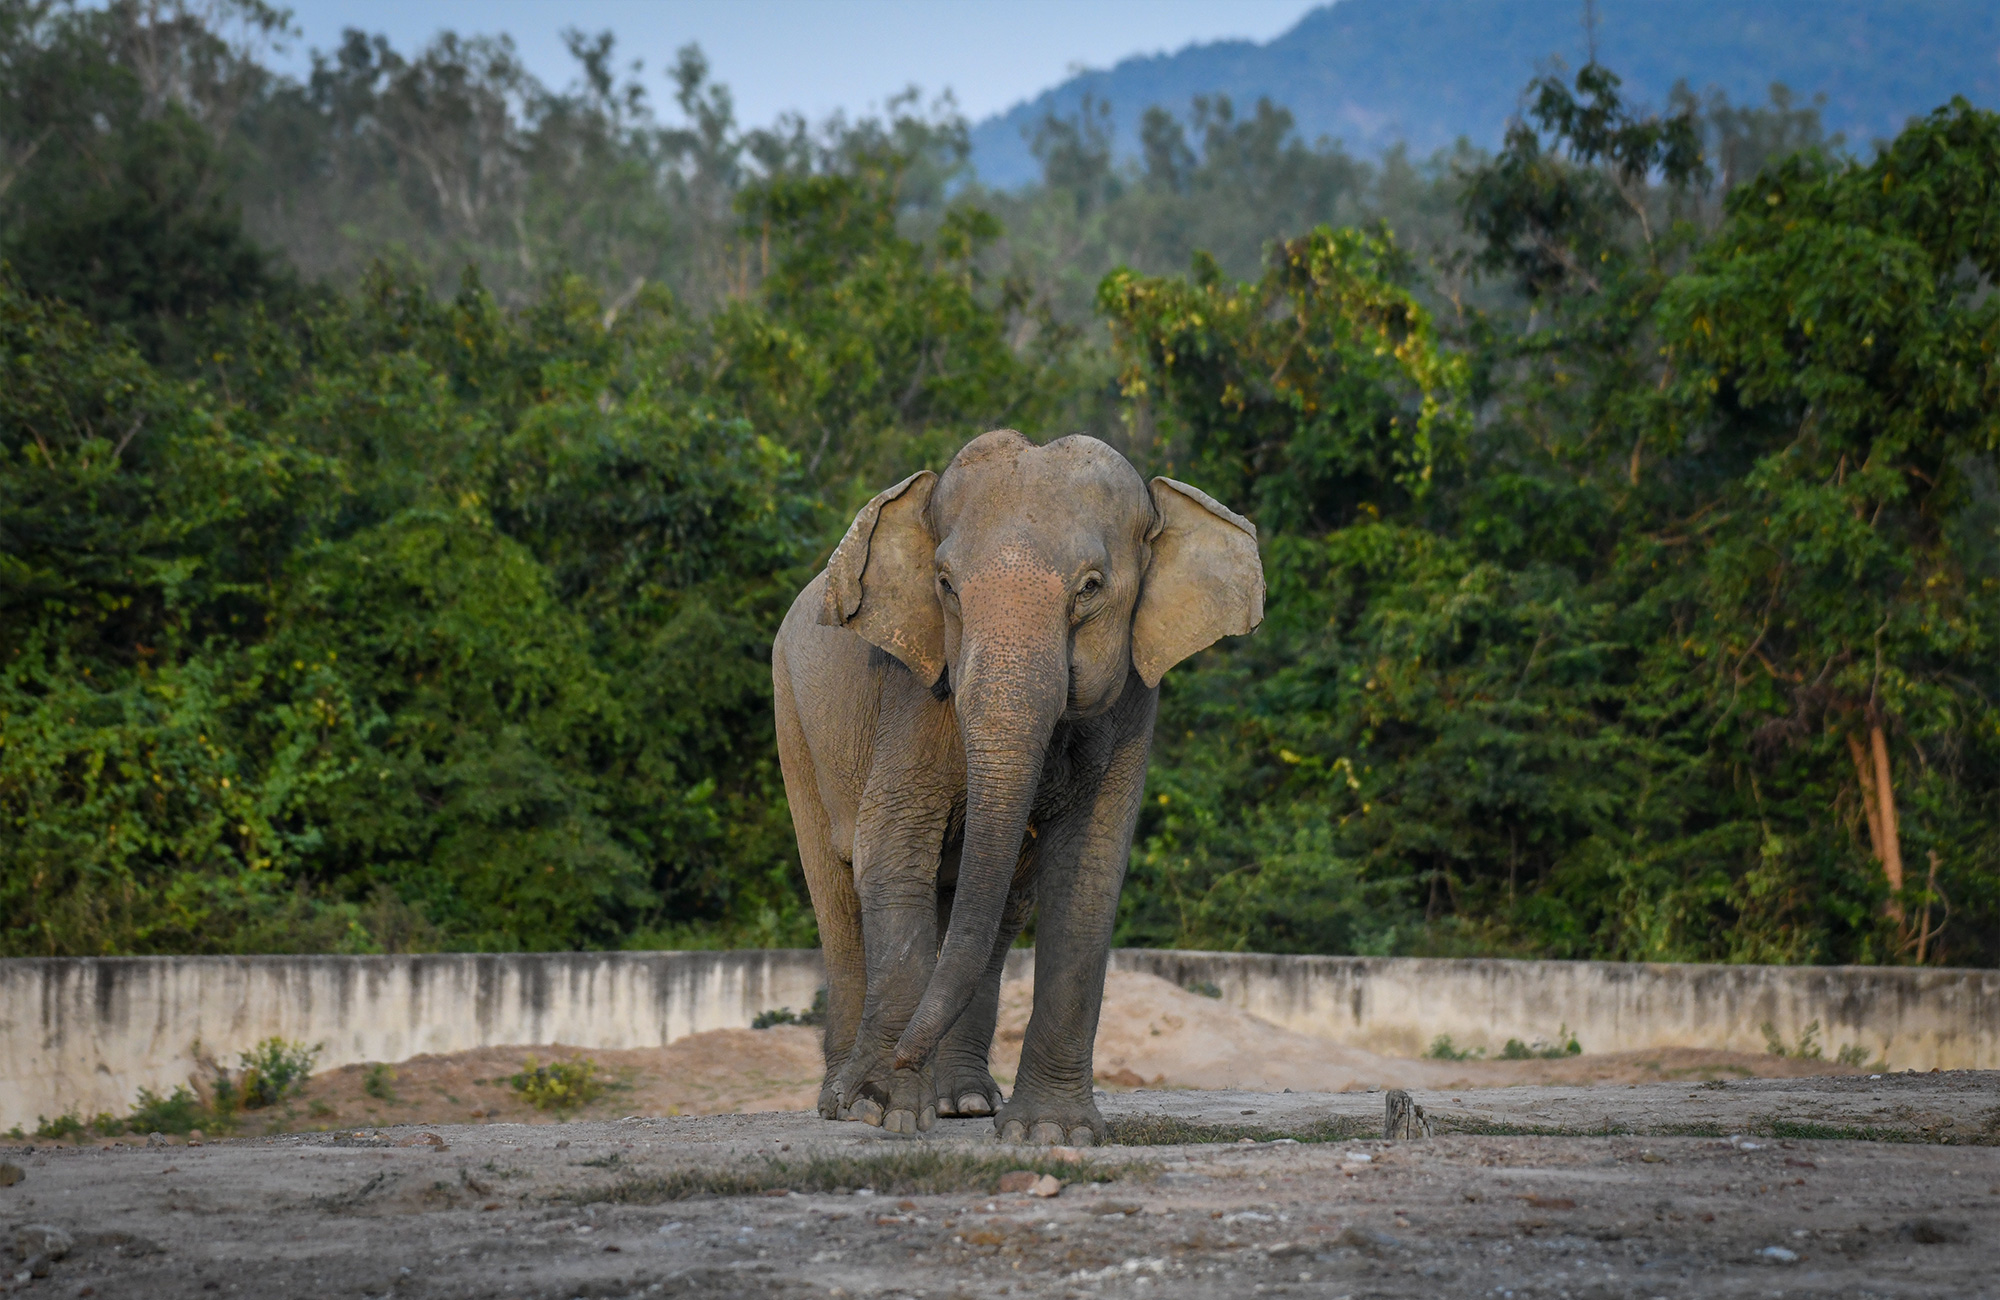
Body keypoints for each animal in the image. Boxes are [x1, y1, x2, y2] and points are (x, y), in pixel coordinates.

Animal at [771, 429, 1264, 1144]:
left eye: (1090, 588)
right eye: (945, 585)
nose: (900, 1058)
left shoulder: (1136, 703)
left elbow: (1086, 875)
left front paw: (1054, 1135)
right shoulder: (913, 691)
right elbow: (892, 854)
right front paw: (885, 1113)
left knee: (997, 908)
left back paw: (965, 1104)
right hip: (793, 721)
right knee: (835, 888)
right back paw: (843, 1102)